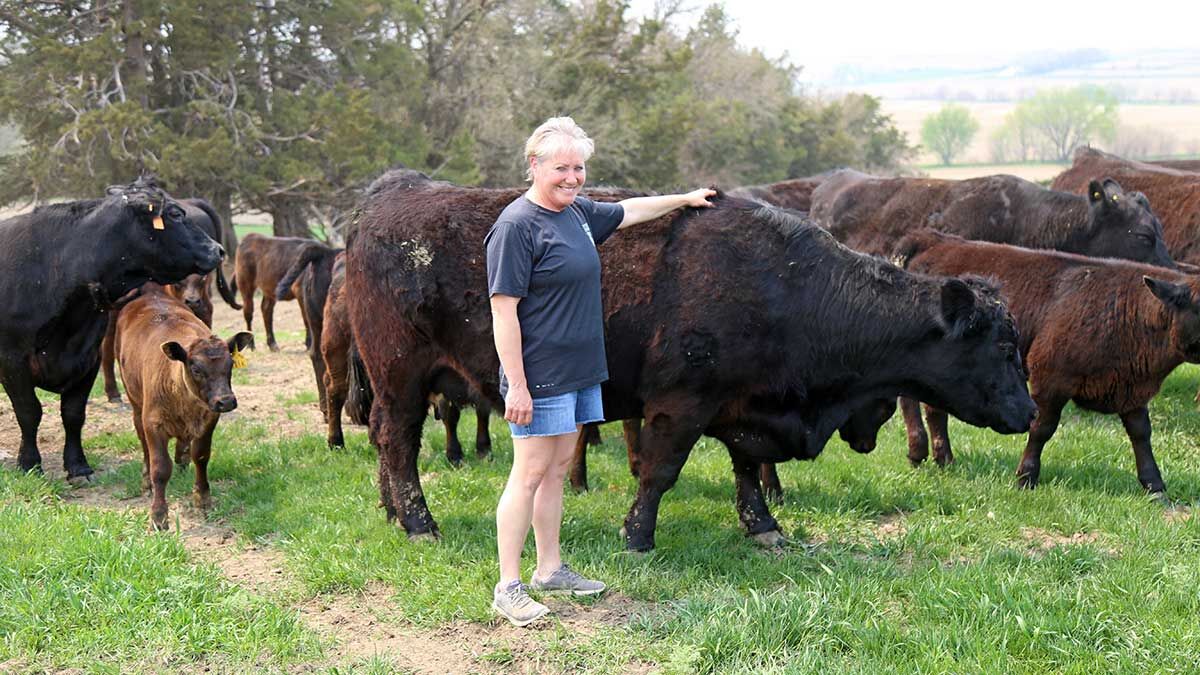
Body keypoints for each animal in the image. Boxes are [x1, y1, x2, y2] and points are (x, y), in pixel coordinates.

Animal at [0, 176, 224, 479]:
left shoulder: (87, 357)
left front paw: (78, 466)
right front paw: (29, 463)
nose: (218, 249)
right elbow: (29, 412)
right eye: (176, 213)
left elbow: (73, 413)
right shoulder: (13, 361)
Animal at [115, 283, 253, 529]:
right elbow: (160, 468)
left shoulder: (209, 419)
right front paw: (159, 515)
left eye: (230, 365)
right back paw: (146, 480)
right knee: (143, 444)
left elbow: (201, 456)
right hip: (135, 403)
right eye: (196, 369)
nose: (226, 401)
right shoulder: (153, 423)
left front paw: (203, 499)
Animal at [346, 185, 1035, 551]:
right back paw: (420, 524)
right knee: (399, 443)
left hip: (398, 385)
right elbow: (660, 472)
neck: (787, 288)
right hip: (402, 377)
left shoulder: (742, 406)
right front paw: (637, 537)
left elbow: (746, 472)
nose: (1028, 412)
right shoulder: (681, 405)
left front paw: (766, 530)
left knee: (385, 442)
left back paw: (391, 513)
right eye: (1004, 347)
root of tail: (383, 203)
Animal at [896, 230, 1200, 499]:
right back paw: (917, 451)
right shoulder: (1050, 379)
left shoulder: (1130, 388)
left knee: (934, 408)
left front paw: (1154, 486)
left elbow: (1141, 433)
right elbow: (1041, 428)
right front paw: (1026, 477)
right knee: (908, 400)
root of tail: (933, 240)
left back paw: (944, 458)